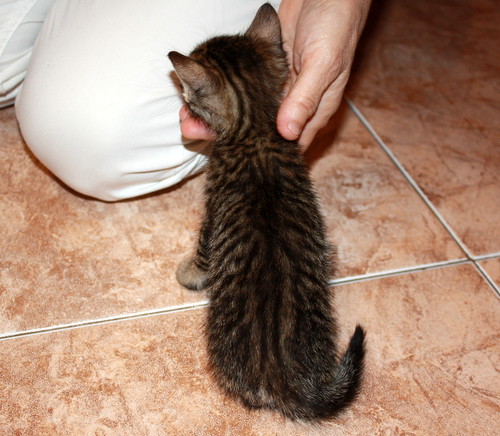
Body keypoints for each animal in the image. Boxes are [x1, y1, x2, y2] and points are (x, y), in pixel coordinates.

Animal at [170, 2, 366, 418]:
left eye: (189, 94)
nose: (182, 99)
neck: (256, 127)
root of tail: (294, 382)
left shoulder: (213, 210)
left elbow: (203, 249)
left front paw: (190, 272)